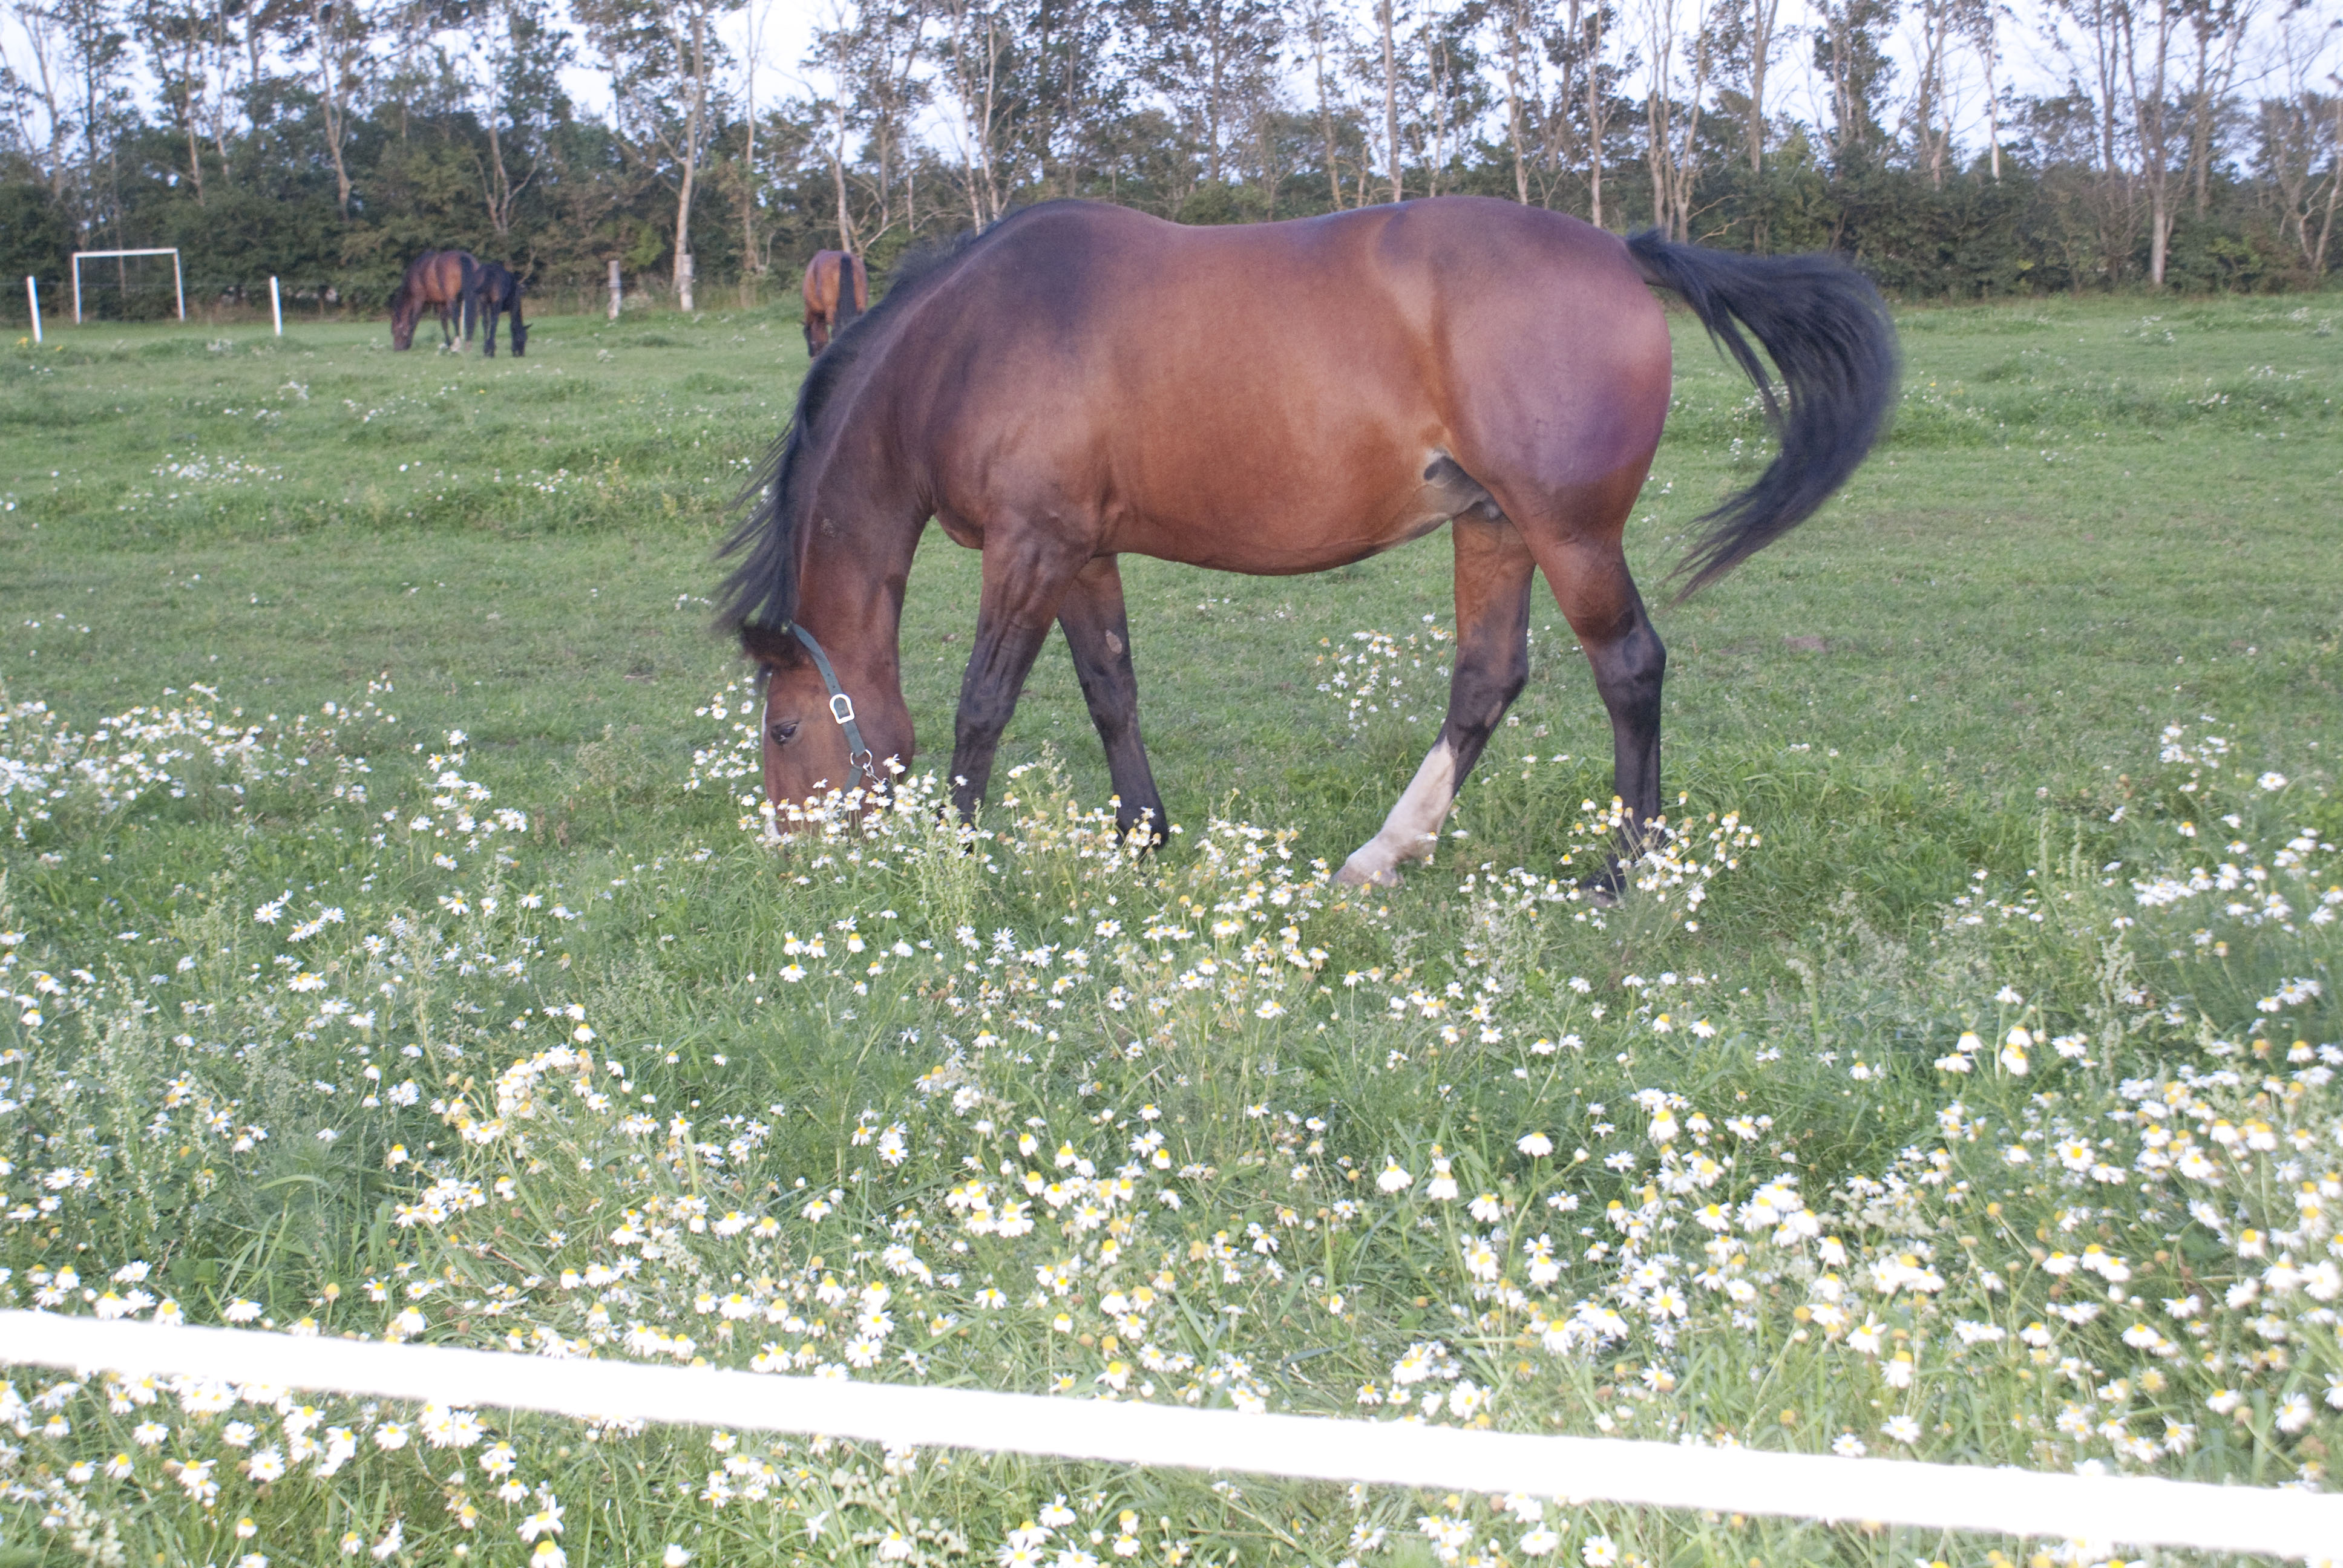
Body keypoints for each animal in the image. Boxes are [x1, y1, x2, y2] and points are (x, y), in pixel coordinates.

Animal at [386, 250, 477, 351]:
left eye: (395, 331)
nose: (397, 349)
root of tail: (464, 258)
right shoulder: (440, 303)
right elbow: (444, 323)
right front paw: (448, 344)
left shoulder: (419, 300)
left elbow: (414, 320)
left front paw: (408, 344)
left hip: (452, 300)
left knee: (455, 317)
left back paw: (457, 345)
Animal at [466, 264, 527, 358]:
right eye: (524, 338)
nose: (522, 354)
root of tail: (489, 271)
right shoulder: (513, 307)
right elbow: (513, 325)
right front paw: (513, 350)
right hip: (496, 302)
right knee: (494, 323)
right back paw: (492, 350)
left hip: (483, 302)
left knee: (486, 322)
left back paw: (486, 350)